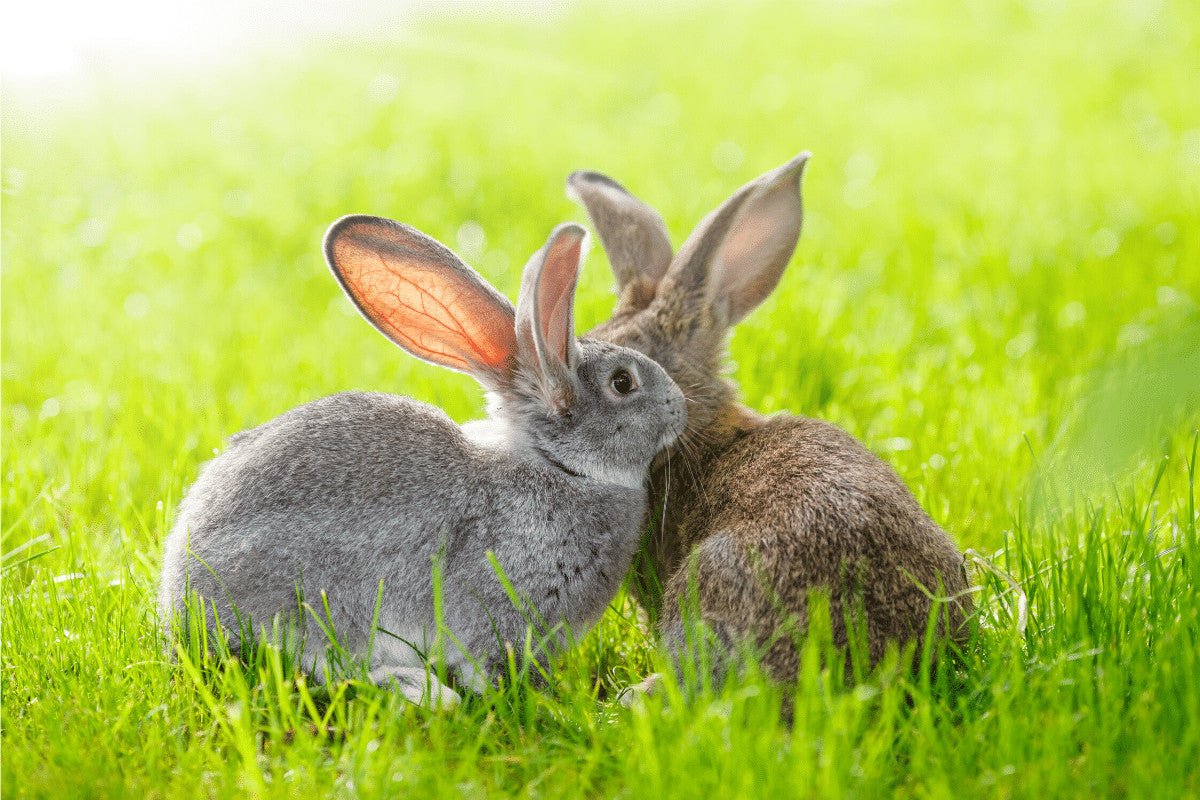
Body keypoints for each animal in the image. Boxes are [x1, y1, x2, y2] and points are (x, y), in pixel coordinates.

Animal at [157, 217, 687, 706]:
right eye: (623, 382)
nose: (680, 407)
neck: (559, 466)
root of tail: (180, 605)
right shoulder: (500, 612)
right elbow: (491, 665)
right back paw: (422, 691)